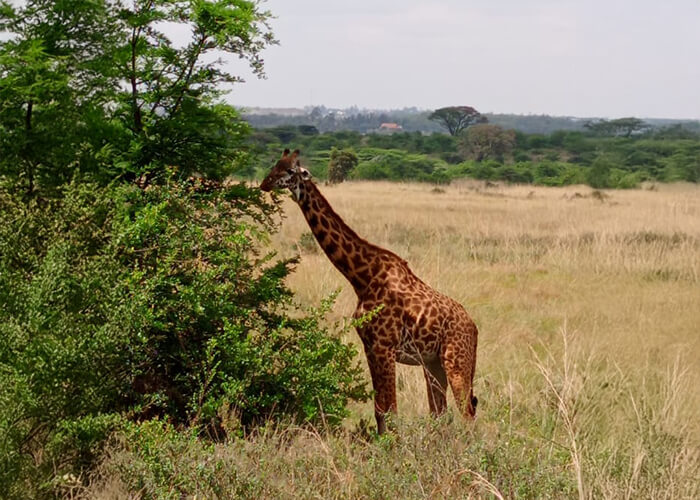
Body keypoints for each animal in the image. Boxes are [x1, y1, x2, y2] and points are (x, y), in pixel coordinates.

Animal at [260, 149, 478, 434]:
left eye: (289, 170)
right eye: (275, 164)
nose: (264, 184)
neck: (362, 278)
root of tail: (474, 328)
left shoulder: (384, 347)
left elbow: (390, 411)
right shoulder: (370, 347)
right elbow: (380, 412)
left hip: (457, 361)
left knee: (467, 415)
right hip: (433, 364)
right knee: (440, 412)